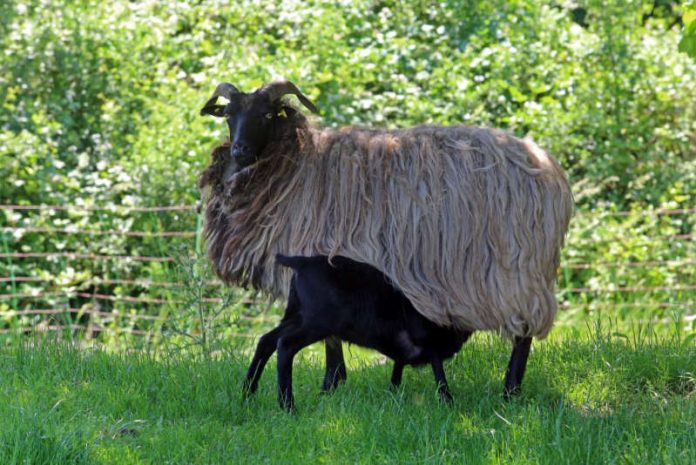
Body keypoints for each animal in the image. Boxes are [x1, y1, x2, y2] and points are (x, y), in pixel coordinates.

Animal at [245, 254, 474, 410]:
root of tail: (302, 261)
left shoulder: (402, 353)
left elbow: (396, 374)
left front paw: (393, 396)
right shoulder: (431, 342)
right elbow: (439, 374)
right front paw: (448, 402)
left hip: (296, 317)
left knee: (266, 341)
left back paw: (248, 392)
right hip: (316, 323)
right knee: (285, 345)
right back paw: (288, 406)